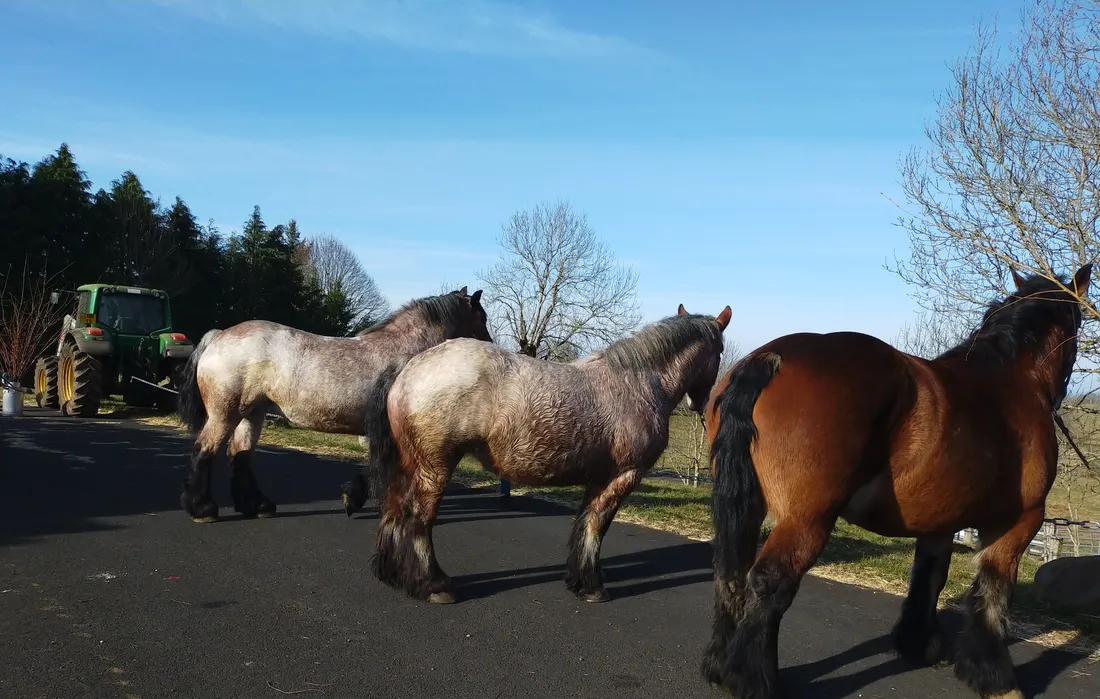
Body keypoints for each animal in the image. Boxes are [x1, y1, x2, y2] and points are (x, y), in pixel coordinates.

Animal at [174, 286, 490, 521]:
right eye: (482, 319)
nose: (491, 345)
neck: (403, 353)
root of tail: (219, 336)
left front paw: (353, 497)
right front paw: (354, 498)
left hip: (252, 413)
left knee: (240, 454)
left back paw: (257, 506)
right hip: (224, 414)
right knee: (204, 450)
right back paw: (202, 509)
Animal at [341, 303, 730, 603]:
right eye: (721, 352)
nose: (701, 403)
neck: (636, 383)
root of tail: (410, 366)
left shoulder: (598, 478)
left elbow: (583, 524)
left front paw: (579, 581)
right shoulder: (622, 476)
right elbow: (596, 527)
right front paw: (593, 587)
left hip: (409, 466)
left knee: (393, 510)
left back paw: (392, 574)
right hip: (434, 467)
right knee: (419, 519)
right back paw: (434, 585)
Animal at [704, 265, 1091, 699]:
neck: (1012, 379)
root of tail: (771, 357)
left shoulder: (941, 521)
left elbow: (929, 577)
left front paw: (919, 643)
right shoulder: (1020, 522)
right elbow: (994, 591)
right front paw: (996, 678)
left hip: (746, 505)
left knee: (731, 571)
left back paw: (719, 665)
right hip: (806, 520)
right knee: (769, 579)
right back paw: (752, 680)